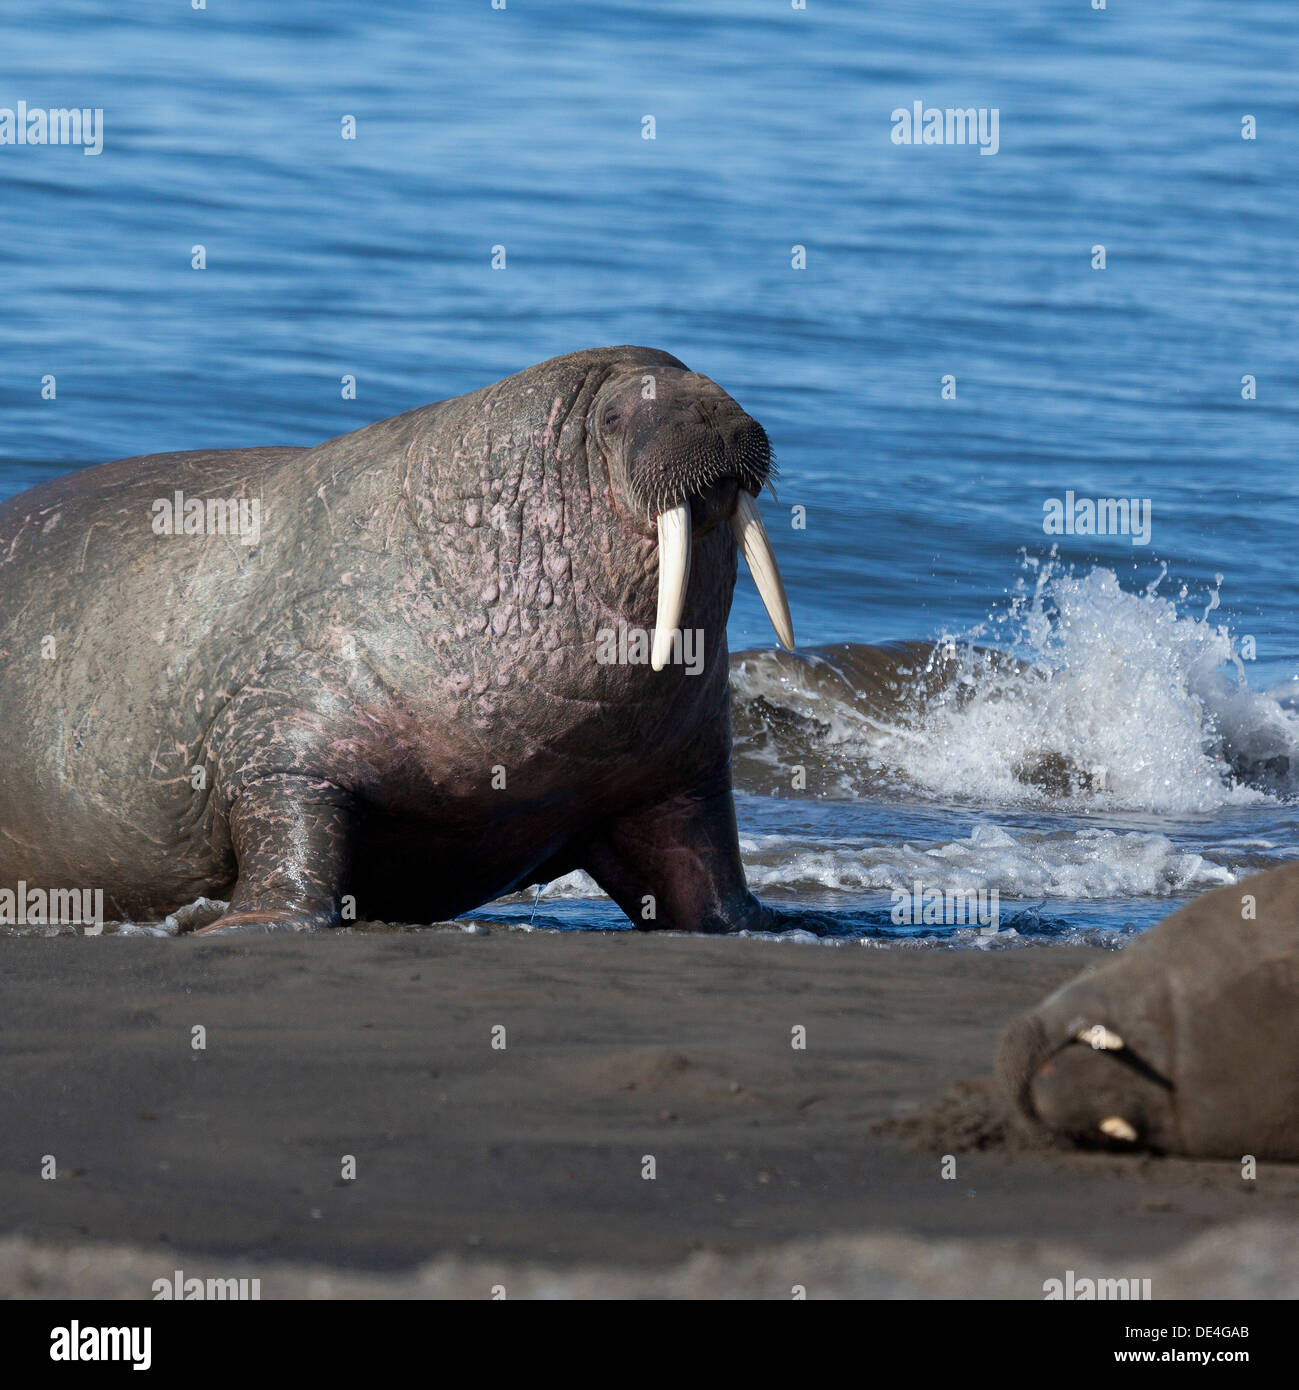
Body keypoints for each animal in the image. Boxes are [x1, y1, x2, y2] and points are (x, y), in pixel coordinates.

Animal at [0, 347, 794, 934]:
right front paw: (248, 922)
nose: (718, 416)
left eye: (715, 389)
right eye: (613, 415)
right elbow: (289, 817)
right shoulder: (283, 725)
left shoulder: (679, 772)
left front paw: (763, 923)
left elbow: (702, 863)